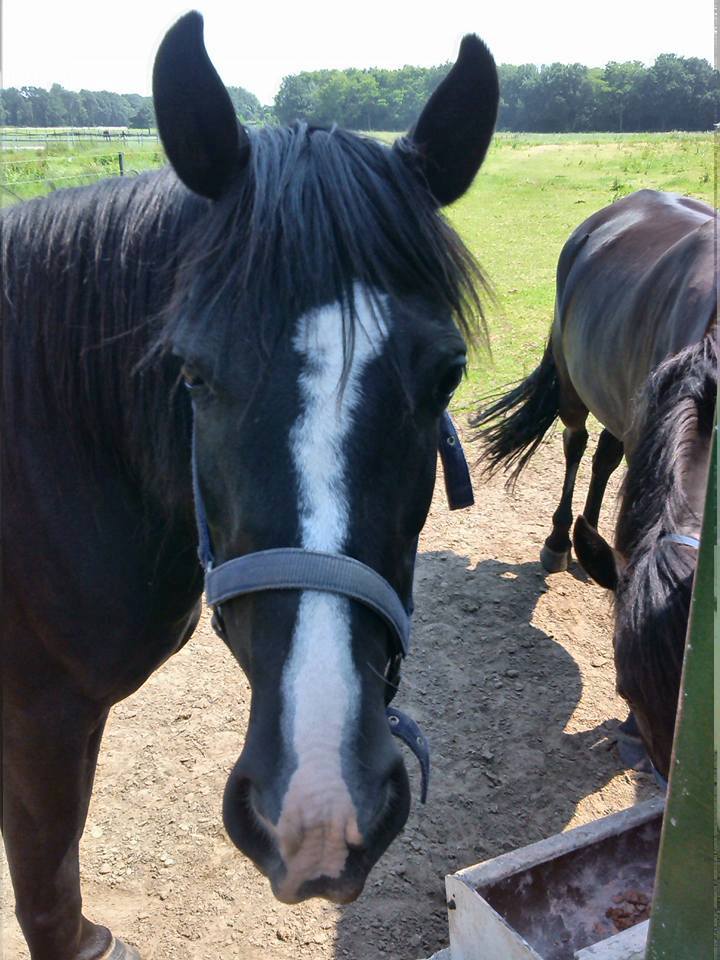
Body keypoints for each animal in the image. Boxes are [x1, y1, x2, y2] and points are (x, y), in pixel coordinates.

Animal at [476, 191, 716, 784]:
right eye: (624, 686)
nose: (657, 772)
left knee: (605, 453)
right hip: (572, 379)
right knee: (577, 443)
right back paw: (561, 541)